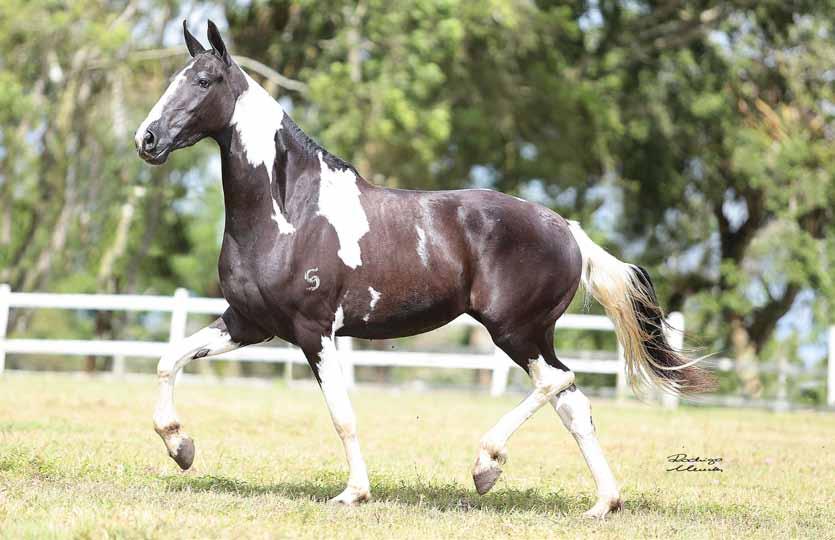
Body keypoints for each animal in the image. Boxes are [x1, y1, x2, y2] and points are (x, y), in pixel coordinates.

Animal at [136, 22, 712, 520]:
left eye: (204, 81)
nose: (147, 139)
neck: (291, 210)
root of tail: (569, 229)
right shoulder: (249, 323)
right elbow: (168, 360)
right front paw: (180, 446)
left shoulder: (312, 330)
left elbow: (341, 414)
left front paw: (353, 493)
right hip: (535, 334)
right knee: (574, 404)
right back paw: (602, 504)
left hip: (515, 331)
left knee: (557, 382)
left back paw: (486, 465)